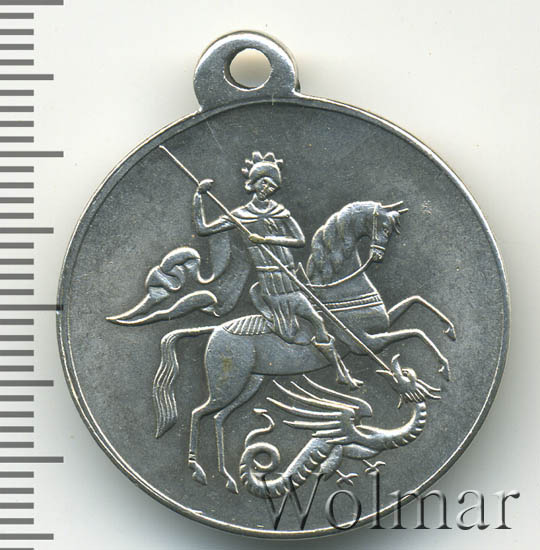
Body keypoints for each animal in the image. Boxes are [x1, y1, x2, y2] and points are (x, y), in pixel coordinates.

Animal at [152, 201, 455, 493]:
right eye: (382, 225)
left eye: (393, 229)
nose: (378, 256)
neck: (337, 289)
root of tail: (214, 329)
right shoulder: (365, 342)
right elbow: (415, 332)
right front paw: (442, 366)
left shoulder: (383, 324)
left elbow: (416, 302)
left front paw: (448, 331)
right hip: (227, 382)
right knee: (198, 413)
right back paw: (197, 470)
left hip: (249, 383)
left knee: (218, 418)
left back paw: (226, 477)